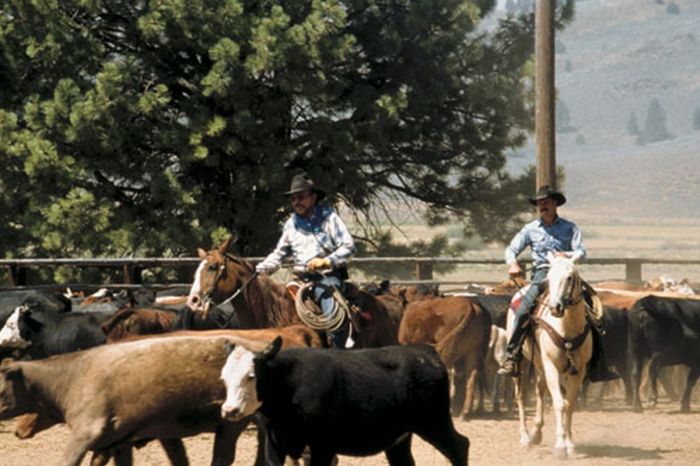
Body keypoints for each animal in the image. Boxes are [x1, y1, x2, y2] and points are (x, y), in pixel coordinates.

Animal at [1, 328, 320, 466]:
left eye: (1, 386)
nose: (17, 431)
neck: (70, 376)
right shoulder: (120, 441)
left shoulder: (86, 433)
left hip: (233, 421)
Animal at [221, 338, 468, 466]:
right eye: (223, 378)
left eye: (250, 376)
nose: (229, 410)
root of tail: (425, 352)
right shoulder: (275, 443)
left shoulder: (322, 446)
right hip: (400, 437)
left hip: (434, 422)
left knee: (459, 445)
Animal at [506, 253, 592, 456]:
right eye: (549, 278)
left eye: (570, 277)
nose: (555, 307)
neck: (566, 330)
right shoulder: (552, 365)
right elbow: (559, 403)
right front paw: (560, 446)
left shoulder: (578, 370)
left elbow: (569, 404)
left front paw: (570, 444)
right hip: (522, 364)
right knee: (521, 396)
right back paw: (525, 438)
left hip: (539, 364)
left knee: (540, 390)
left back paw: (536, 433)